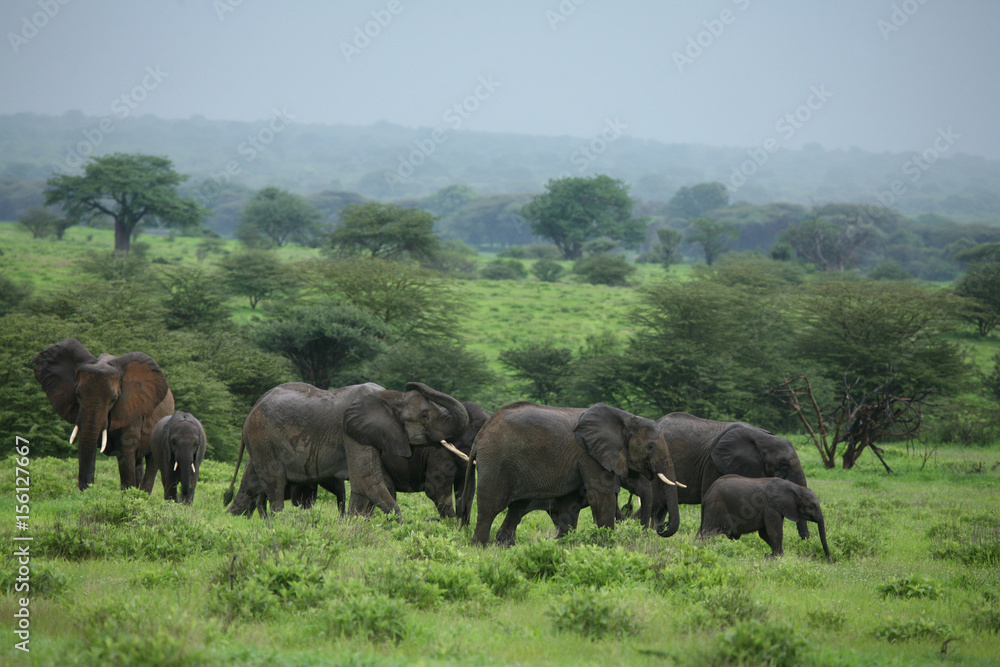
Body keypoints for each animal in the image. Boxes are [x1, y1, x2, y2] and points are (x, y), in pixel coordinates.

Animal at [32, 340, 174, 490]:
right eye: (78, 394)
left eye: (114, 399)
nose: (87, 487)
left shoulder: (132, 408)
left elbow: (126, 449)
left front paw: (127, 493)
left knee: (151, 462)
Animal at [223, 380, 468, 516]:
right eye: (425, 416)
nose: (411, 384)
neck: (390, 396)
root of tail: (255, 405)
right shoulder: (352, 433)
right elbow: (366, 480)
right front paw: (399, 527)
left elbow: (362, 487)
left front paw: (353, 527)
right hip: (263, 437)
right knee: (274, 483)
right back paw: (278, 522)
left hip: (260, 442)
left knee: (252, 482)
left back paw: (232, 518)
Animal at [458, 402, 680, 548]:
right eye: (650, 447)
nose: (661, 527)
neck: (626, 418)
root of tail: (481, 435)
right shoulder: (589, 455)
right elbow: (601, 496)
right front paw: (605, 546)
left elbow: (568, 505)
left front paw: (562, 545)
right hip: (497, 463)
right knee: (490, 507)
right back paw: (480, 547)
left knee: (517, 507)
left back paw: (503, 546)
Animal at [696, 472, 828, 560]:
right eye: (811, 507)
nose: (829, 560)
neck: (794, 487)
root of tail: (707, 494)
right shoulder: (769, 507)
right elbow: (774, 531)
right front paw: (775, 557)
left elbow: (764, 533)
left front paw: (773, 556)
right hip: (715, 507)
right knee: (707, 533)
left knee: (701, 533)